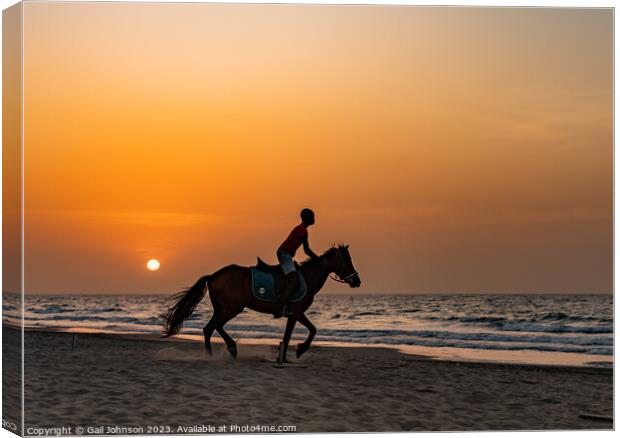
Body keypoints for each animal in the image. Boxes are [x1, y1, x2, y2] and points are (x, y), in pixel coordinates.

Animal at [162, 245, 360, 362]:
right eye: (347, 261)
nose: (357, 281)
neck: (307, 278)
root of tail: (213, 276)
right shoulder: (296, 313)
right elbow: (304, 332)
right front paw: (297, 351)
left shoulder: (296, 314)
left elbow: (300, 332)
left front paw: (289, 355)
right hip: (231, 308)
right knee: (215, 326)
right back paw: (231, 348)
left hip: (223, 309)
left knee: (208, 329)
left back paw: (210, 355)